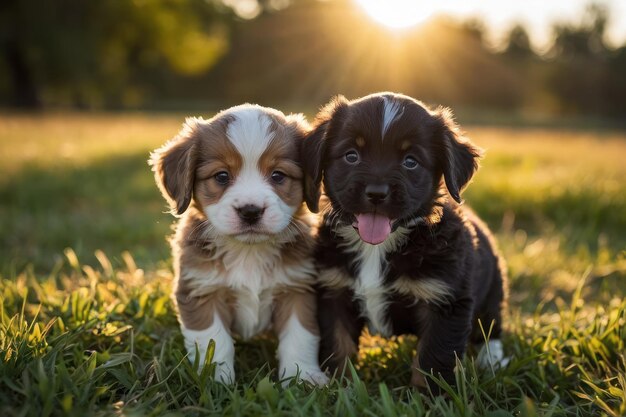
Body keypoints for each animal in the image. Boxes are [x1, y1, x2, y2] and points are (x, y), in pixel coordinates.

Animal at [150, 103, 326, 384]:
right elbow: (213, 341)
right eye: (222, 176)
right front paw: (215, 379)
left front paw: (302, 376)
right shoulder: (201, 291)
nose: (250, 211)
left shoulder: (298, 289)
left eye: (278, 176)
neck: (248, 252)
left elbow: (300, 337)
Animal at [302, 92, 508, 388]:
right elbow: (337, 345)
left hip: (493, 289)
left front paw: (429, 396)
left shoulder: (445, 301)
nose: (377, 193)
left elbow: (433, 356)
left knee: (491, 328)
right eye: (351, 156)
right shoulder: (334, 291)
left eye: (410, 161)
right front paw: (340, 387)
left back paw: (492, 361)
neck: (377, 248)